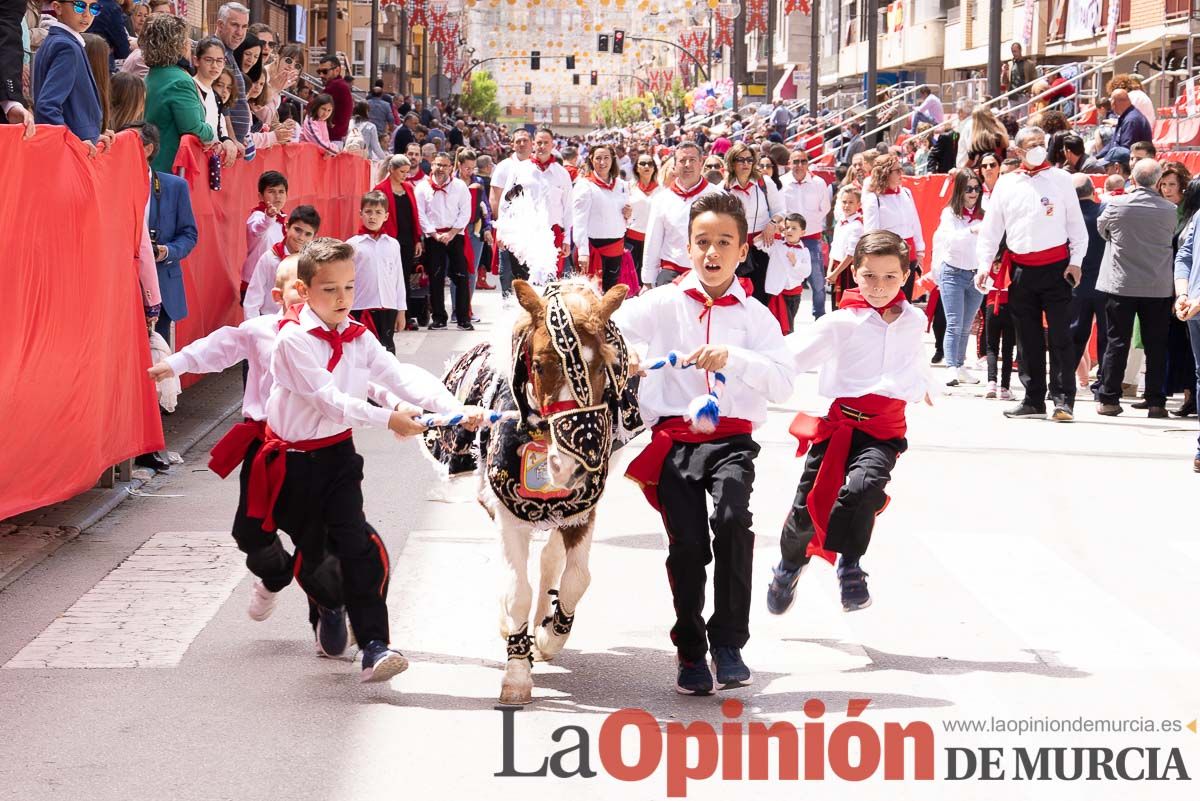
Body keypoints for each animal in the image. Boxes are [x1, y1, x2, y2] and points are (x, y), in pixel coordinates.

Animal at [427, 278, 643, 705]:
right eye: (540, 364)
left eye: (601, 366)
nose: (569, 465)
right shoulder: (508, 513)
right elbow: (517, 590)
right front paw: (516, 672)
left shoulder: (582, 511)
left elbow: (577, 579)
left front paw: (549, 635)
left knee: (549, 559)